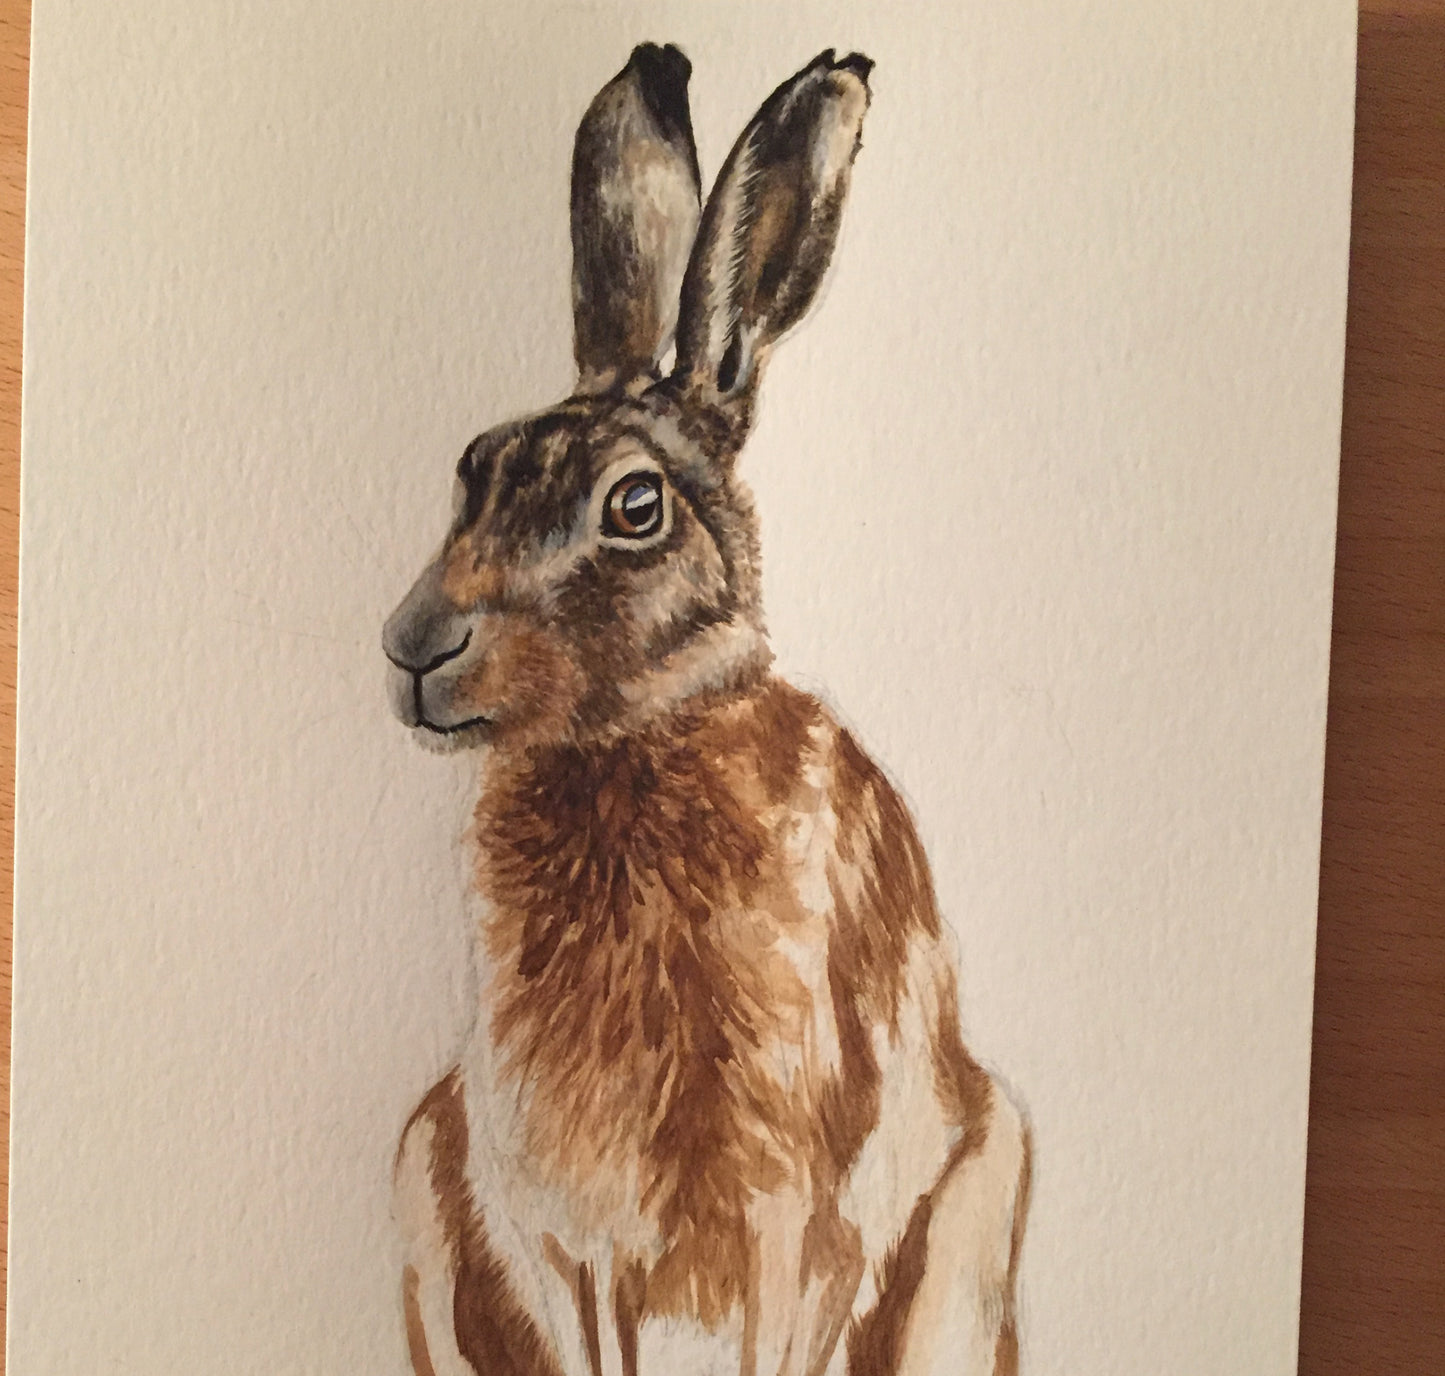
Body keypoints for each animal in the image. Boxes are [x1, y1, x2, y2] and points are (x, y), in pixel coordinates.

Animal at [383, 42, 1029, 1376]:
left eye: (635, 507)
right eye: (473, 470)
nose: (414, 647)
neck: (628, 742)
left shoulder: (801, 1220)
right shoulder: (565, 1233)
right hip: (427, 1176)